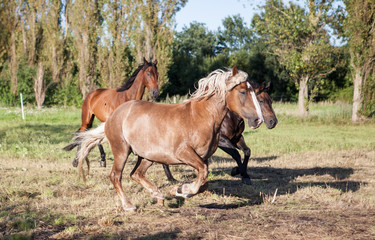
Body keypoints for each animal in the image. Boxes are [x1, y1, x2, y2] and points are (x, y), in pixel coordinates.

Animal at [67, 66, 262, 211]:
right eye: (243, 92)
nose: (258, 120)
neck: (202, 117)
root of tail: (113, 116)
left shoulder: (203, 157)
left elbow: (204, 181)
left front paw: (180, 189)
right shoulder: (184, 153)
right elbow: (202, 175)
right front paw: (181, 190)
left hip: (147, 156)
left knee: (136, 173)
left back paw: (158, 196)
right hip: (122, 151)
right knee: (116, 176)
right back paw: (129, 206)